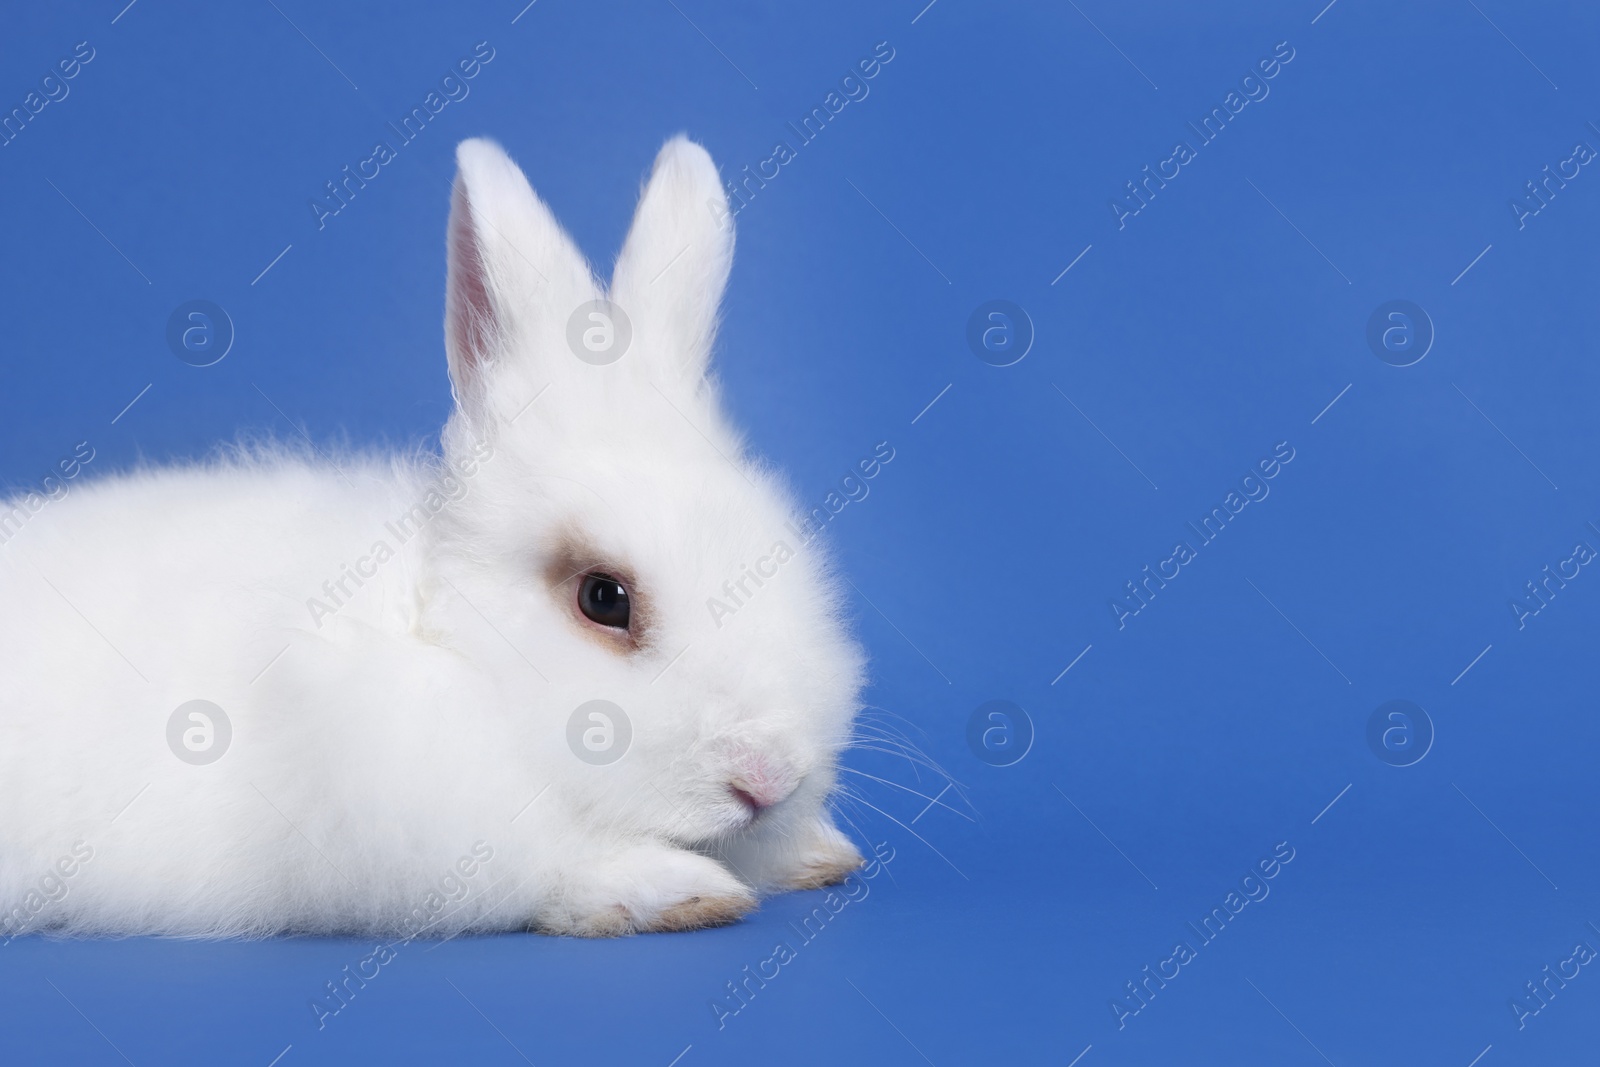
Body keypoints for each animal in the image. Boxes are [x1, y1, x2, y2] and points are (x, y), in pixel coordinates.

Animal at [0, 137, 870, 940]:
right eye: (604, 597)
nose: (768, 776)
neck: (451, 654)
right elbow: (553, 854)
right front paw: (680, 889)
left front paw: (817, 851)